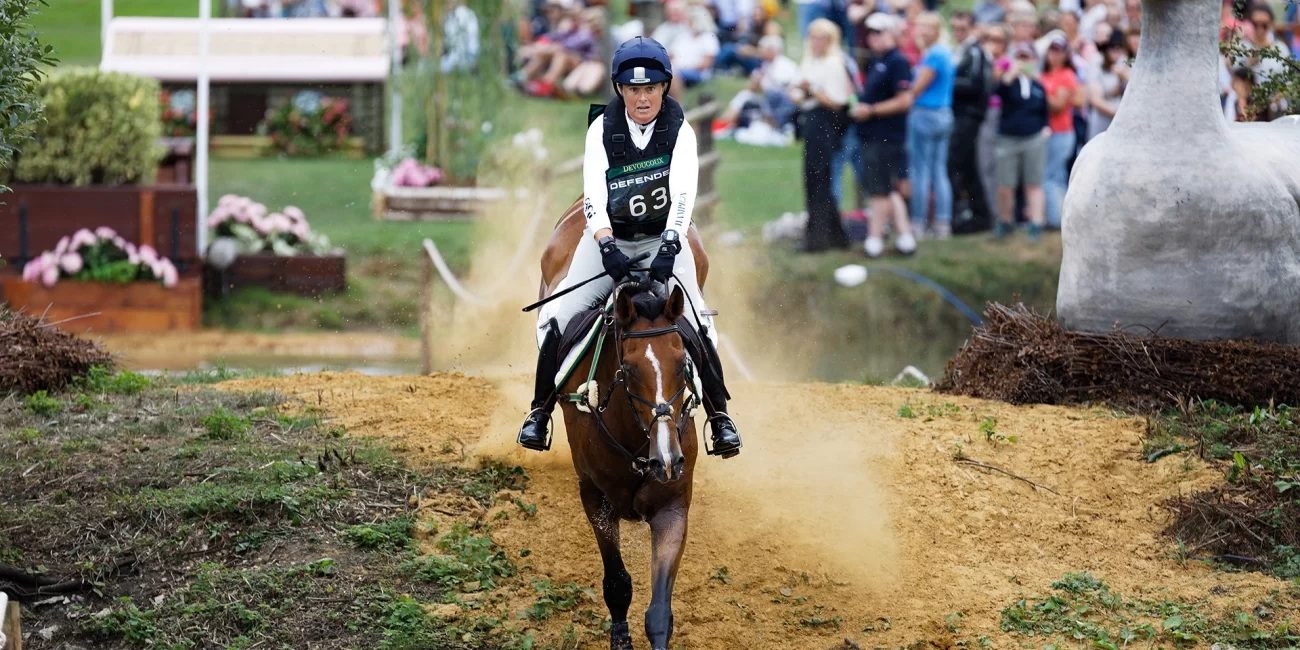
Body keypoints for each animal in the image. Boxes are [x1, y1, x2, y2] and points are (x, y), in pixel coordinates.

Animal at [533, 197, 707, 650]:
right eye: (627, 371)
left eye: (683, 365)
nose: (667, 459)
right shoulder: (596, 497)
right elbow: (617, 584)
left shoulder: (672, 504)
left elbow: (659, 611)